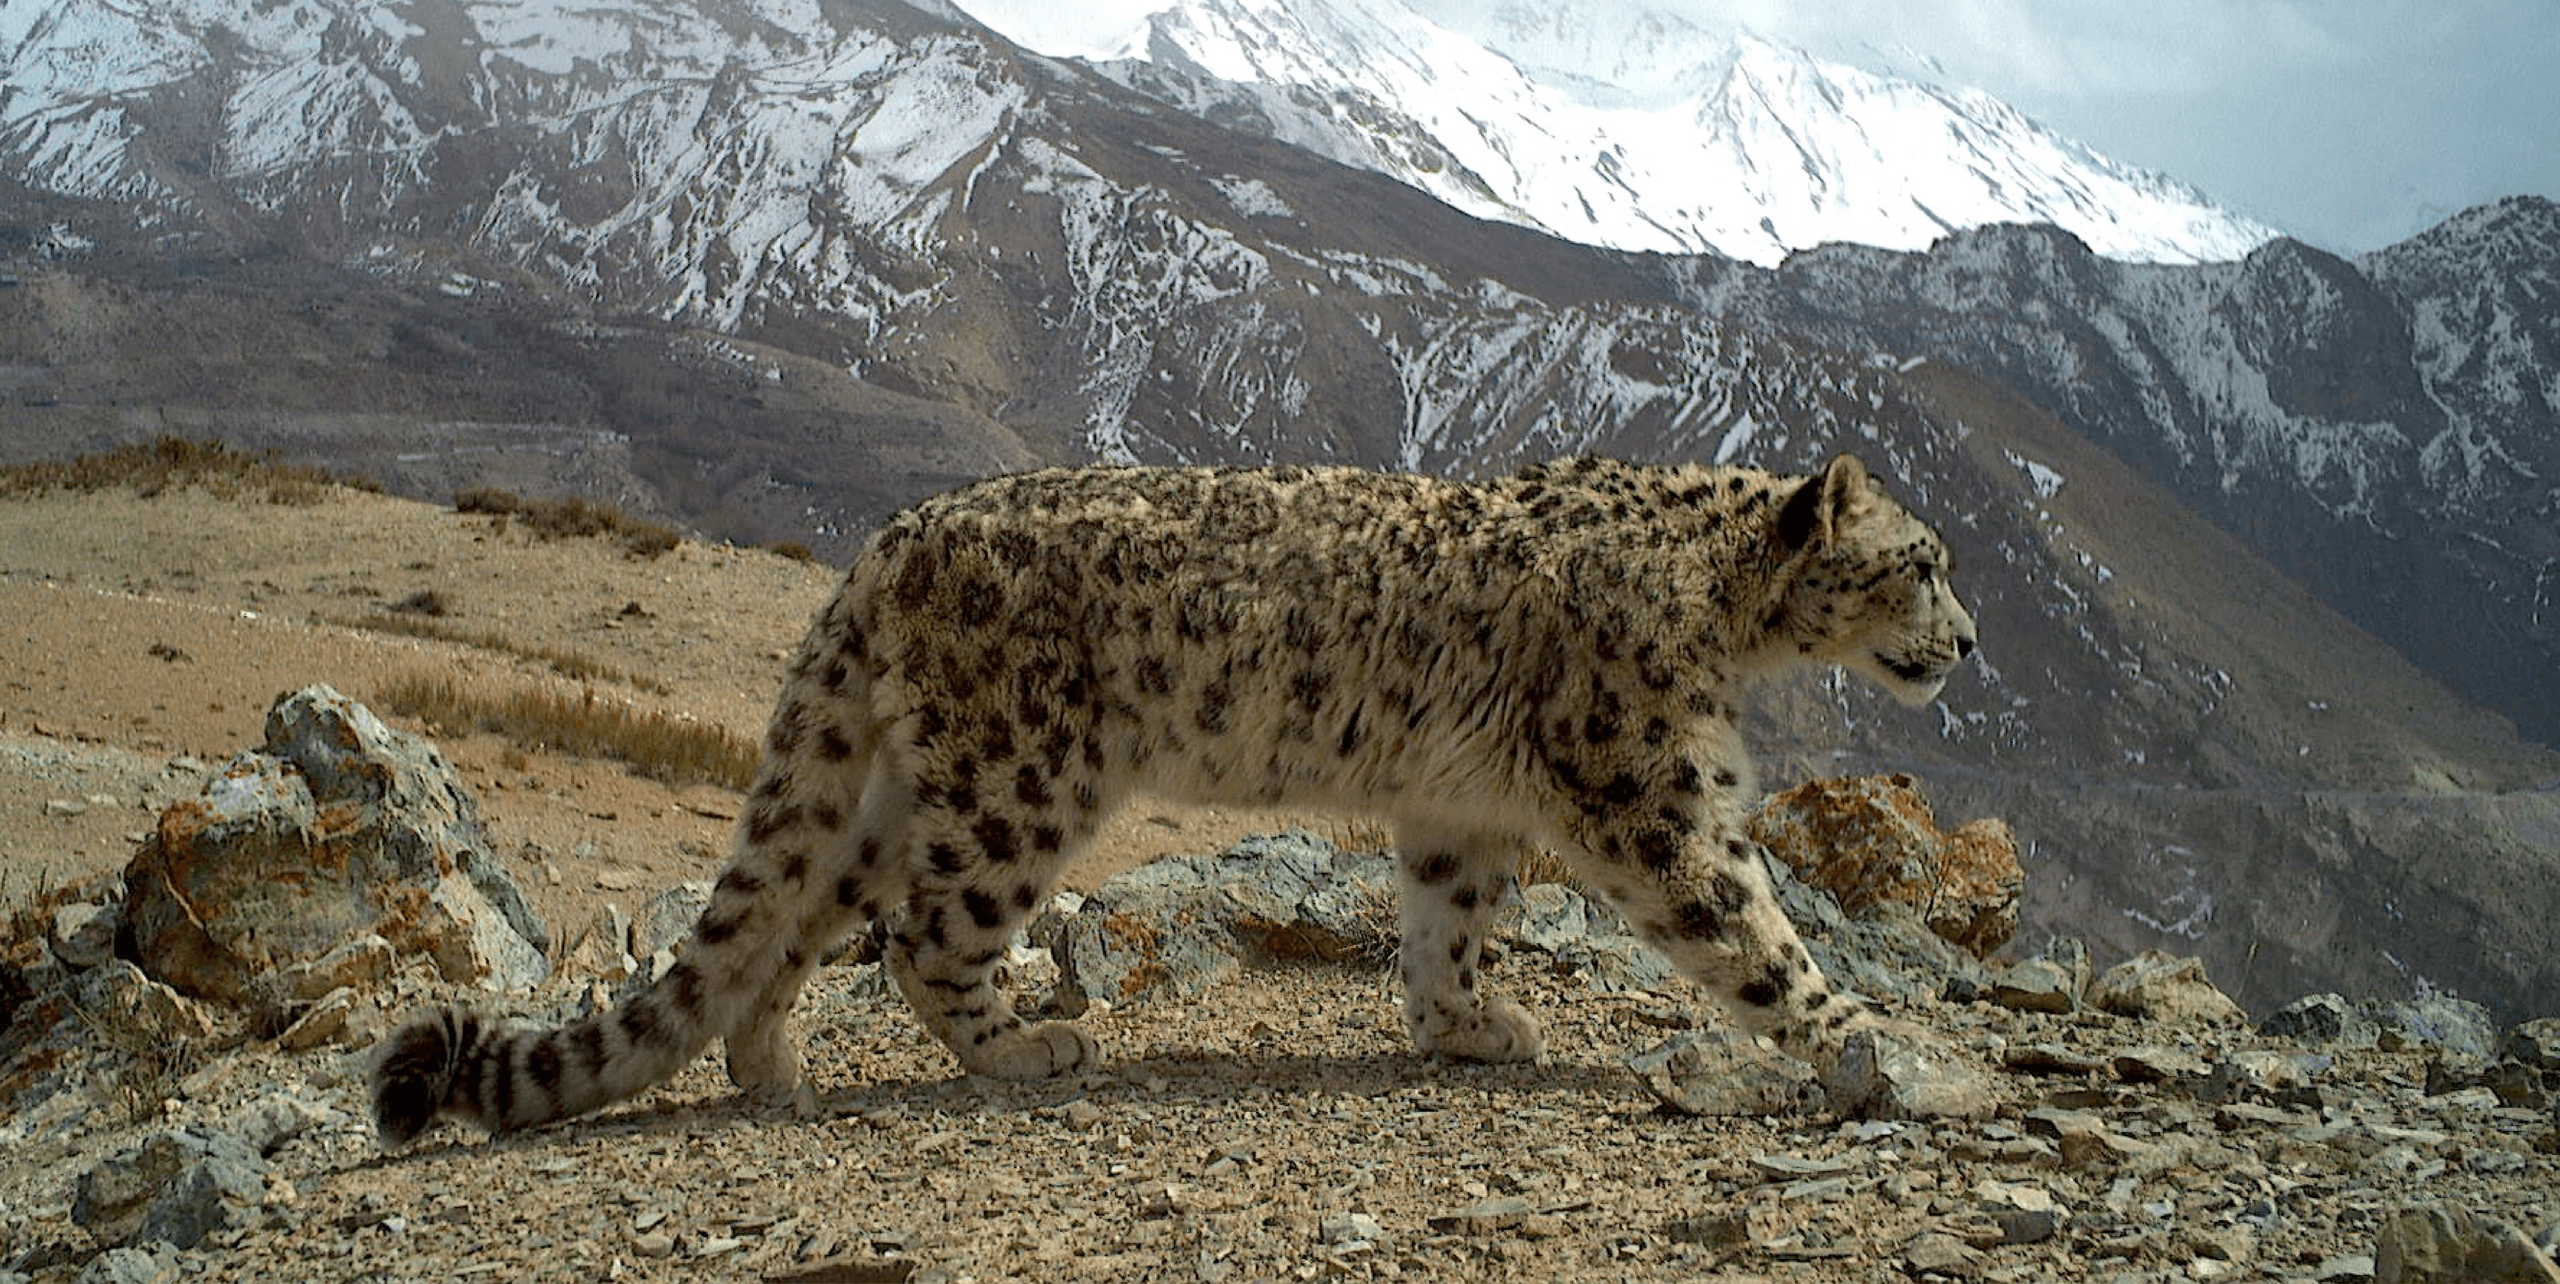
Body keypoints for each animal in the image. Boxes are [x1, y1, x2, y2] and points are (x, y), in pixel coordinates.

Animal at [372, 452, 1978, 1144]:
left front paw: (1472, 1028)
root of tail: (889, 539)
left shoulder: (1459, 810)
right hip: (1025, 776)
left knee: (804, 915)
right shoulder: (1651, 791)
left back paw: (773, 1067)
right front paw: (1866, 1044)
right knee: (929, 934)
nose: (1969, 644)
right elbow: (1752, 927)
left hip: (895, 784)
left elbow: (1447, 927)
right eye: (1923, 561)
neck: (1726, 617)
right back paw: (1032, 1047)